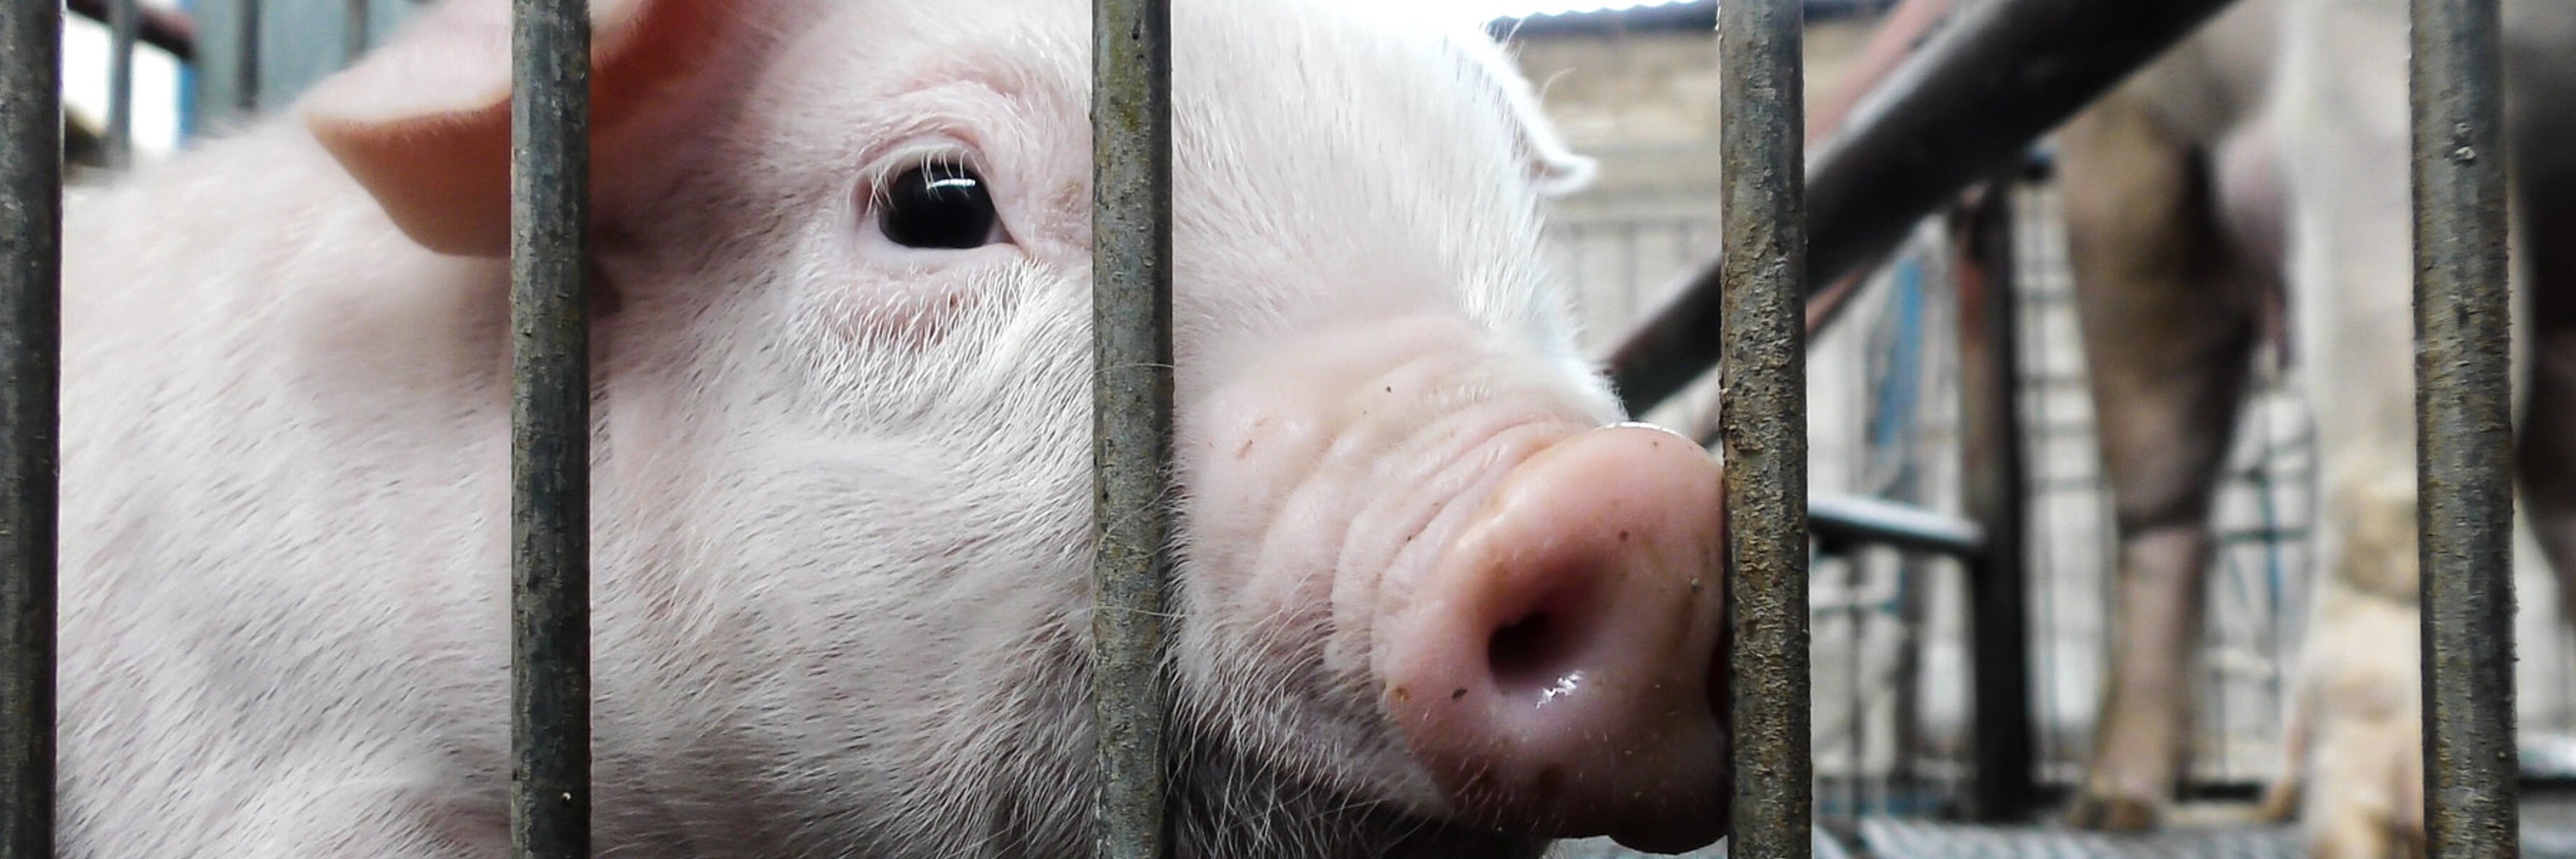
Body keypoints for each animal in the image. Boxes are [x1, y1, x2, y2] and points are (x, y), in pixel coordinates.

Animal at [2040, 0, 2576, 850]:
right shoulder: (2359, 58)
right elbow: (2392, 453)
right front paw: (2380, 834)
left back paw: (2280, 796)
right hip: (2128, 190)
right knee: (2162, 517)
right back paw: (2113, 808)